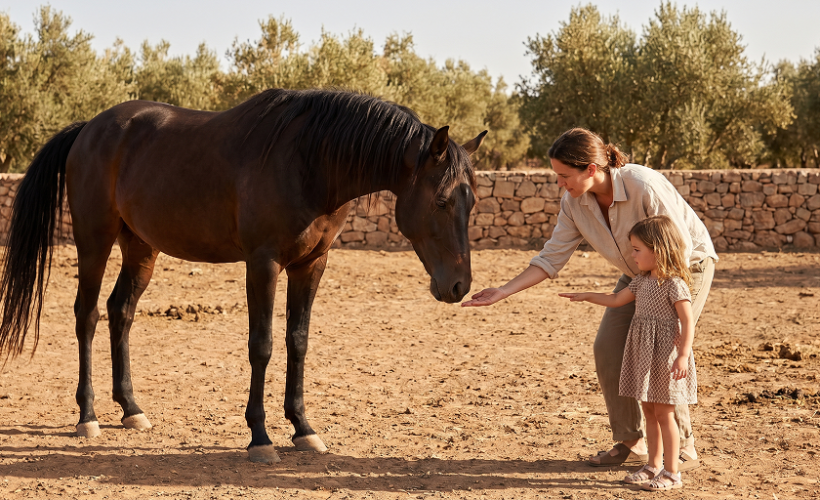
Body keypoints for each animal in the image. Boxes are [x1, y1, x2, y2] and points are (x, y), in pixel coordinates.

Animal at [0, 88, 486, 463]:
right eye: (442, 200)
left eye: (473, 201)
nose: (458, 286)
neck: (309, 162)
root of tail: (89, 129)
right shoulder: (263, 262)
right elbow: (262, 346)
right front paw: (260, 437)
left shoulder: (312, 264)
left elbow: (298, 342)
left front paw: (303, 428)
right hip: (94, 241)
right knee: (86, 316)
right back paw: (88, 416)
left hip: (140, 247)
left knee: (120, 312)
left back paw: (131, 408)